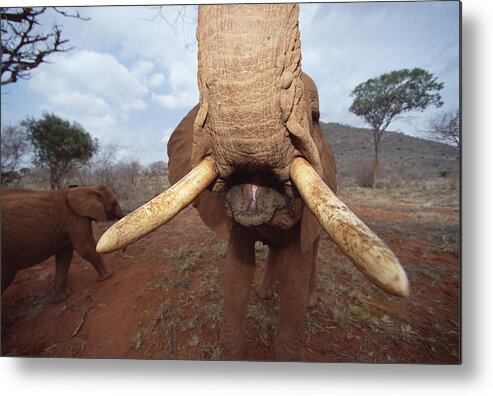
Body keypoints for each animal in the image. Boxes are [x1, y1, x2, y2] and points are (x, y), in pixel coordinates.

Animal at [97, 3, 408, 362]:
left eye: (315, 117)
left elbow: (296, 271)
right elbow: (237, 271)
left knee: (313, 248)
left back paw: (307, 300)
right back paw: (264, 295)